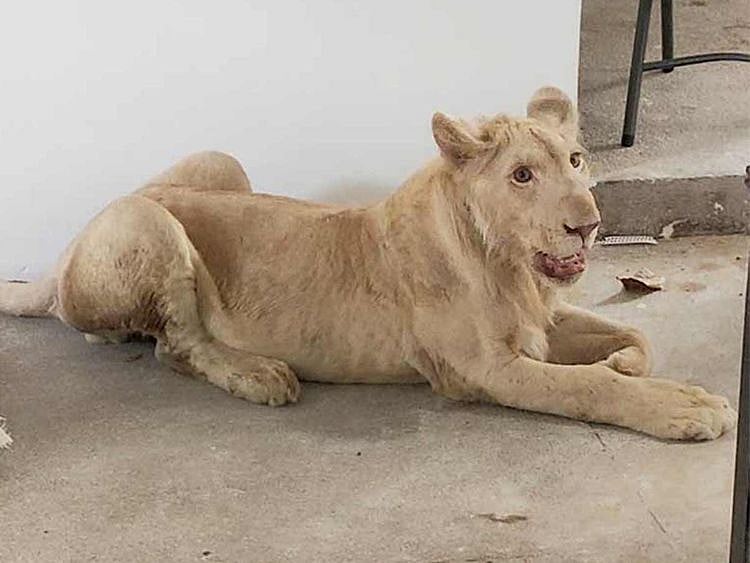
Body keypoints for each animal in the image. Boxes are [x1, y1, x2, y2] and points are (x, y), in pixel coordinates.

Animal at [0, 87, 737, 440]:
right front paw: (684, 405)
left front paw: (625, 361)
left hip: (218, 163)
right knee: (175, 345)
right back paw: (261, 375)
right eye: (523, 175)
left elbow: (633, 336)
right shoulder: (481, 369)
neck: (506, 263)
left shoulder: (542, 322)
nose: (588, 224)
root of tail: (64, 251)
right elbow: (588, 388)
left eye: (577, 160)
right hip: (147, 223)